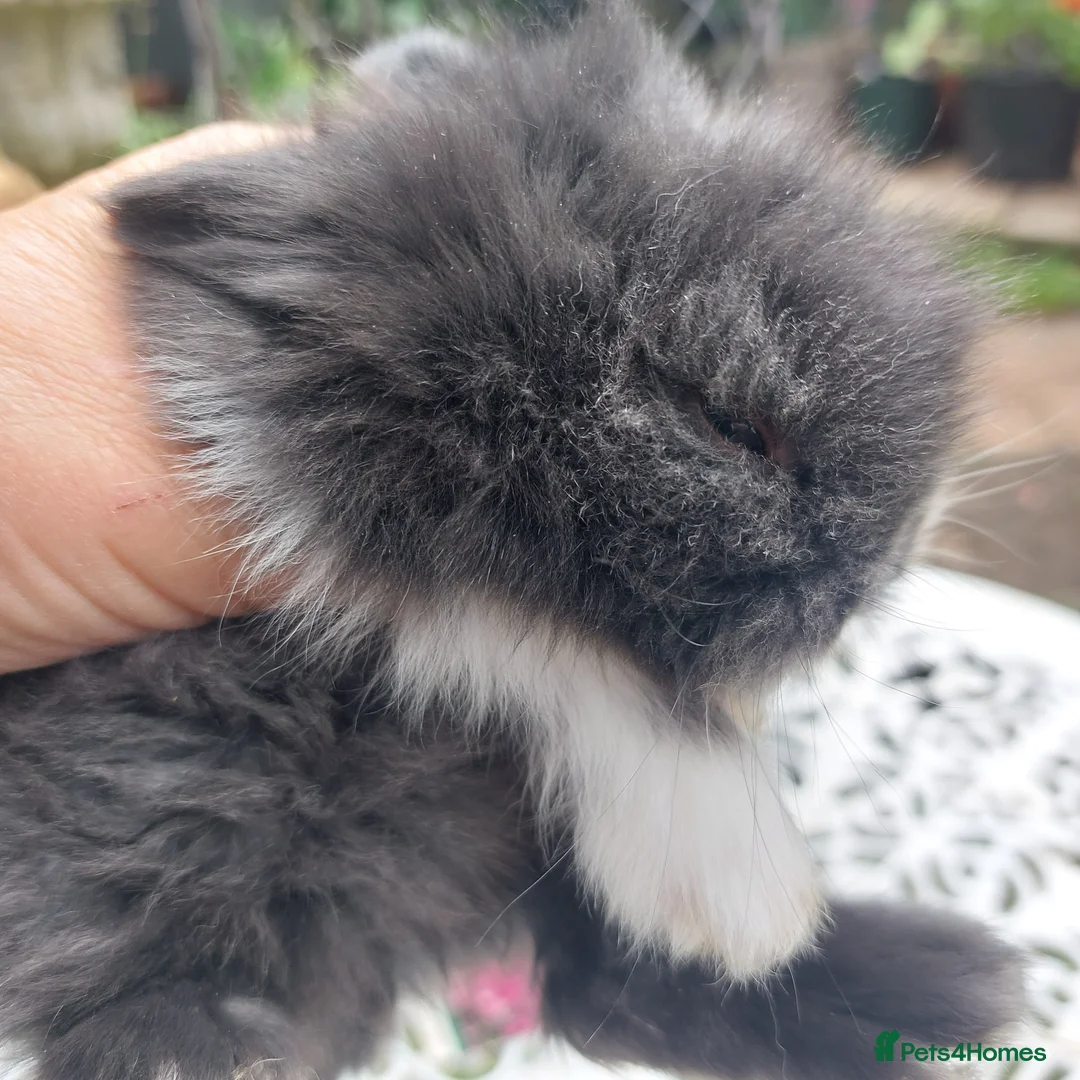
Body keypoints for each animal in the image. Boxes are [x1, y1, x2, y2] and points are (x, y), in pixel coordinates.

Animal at [0, 3, 1024, 1079]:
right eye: (728, 421)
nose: (899, 552)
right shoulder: (288, 463)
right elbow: (520, 638)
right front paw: (739, 886)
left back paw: (942, 993)